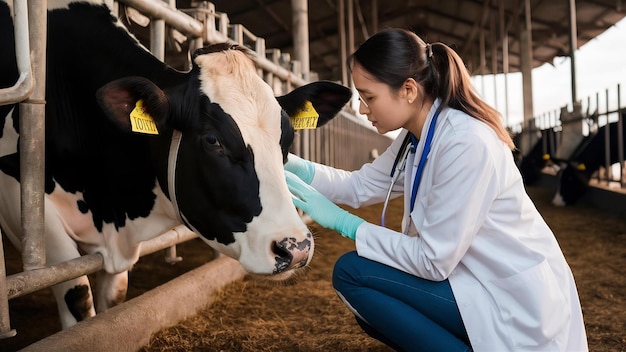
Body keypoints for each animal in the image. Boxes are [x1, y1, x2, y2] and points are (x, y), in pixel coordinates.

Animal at [0, 1, 352, 328]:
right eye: (213, 140)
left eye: (287, 139)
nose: (296, 248)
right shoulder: (22, 200)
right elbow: (78, 296)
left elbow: (112, 299)